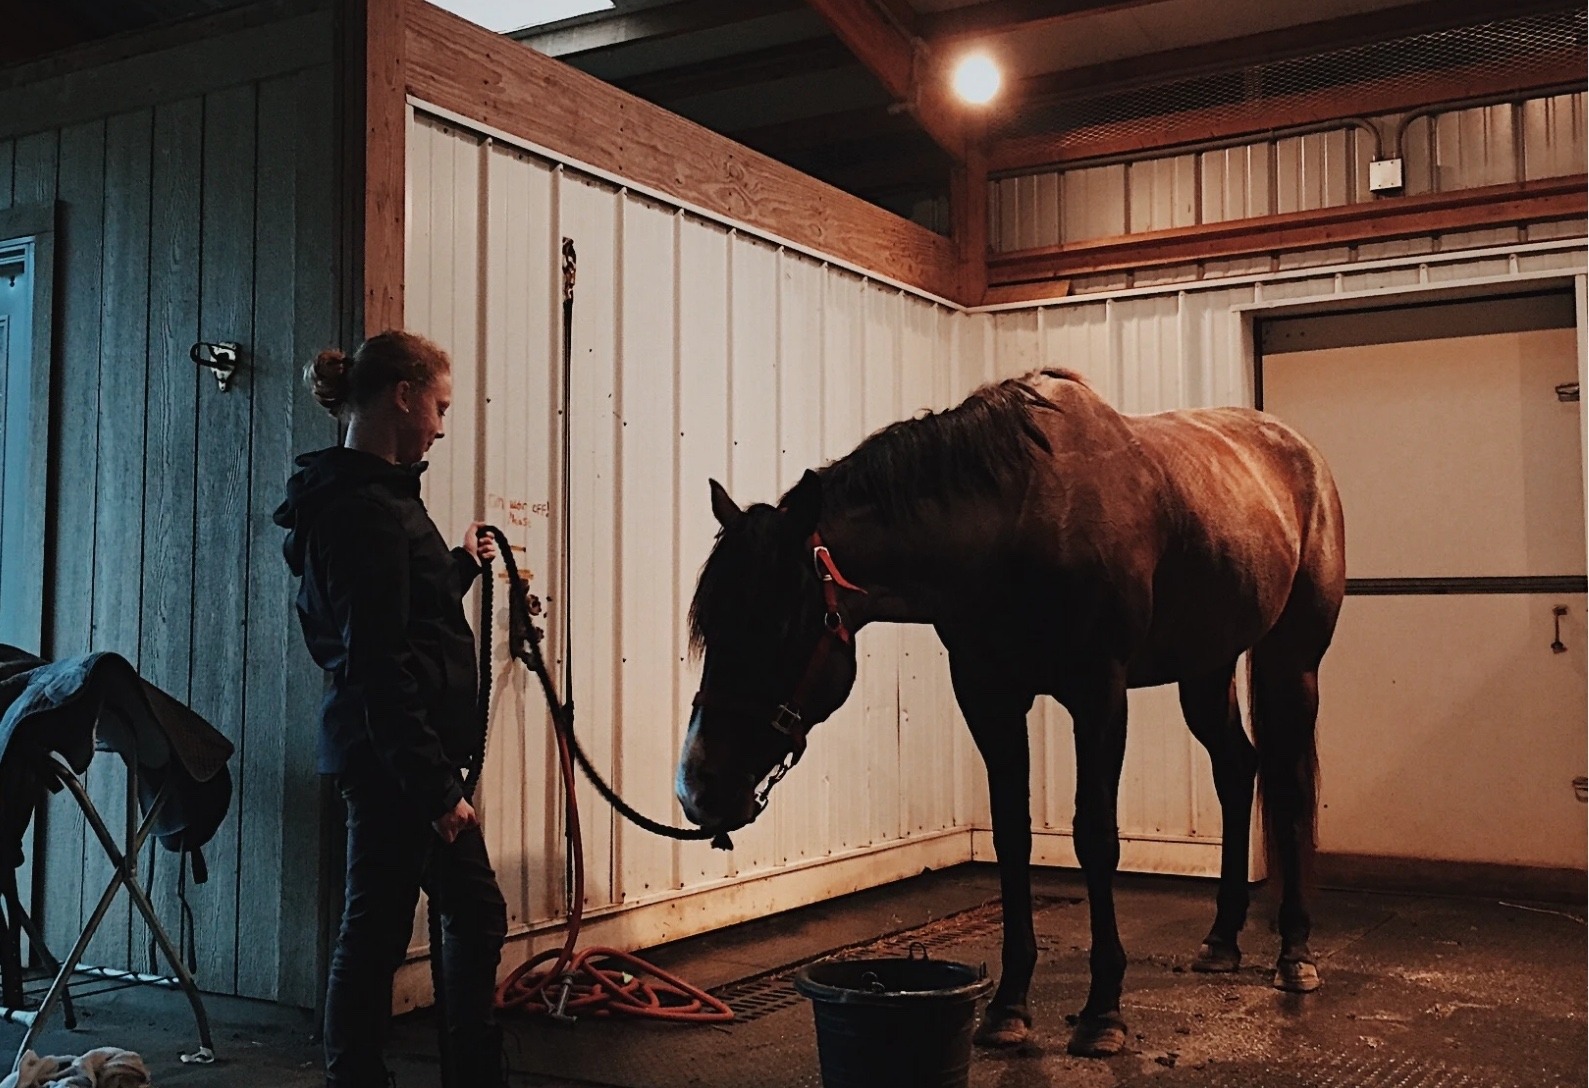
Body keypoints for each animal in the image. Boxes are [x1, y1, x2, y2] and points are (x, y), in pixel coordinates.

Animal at [674, 366, 1345, 1056]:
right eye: (710, 628)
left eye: (781, 626)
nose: (698, 788)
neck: (1018, 524)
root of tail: (1301, 454)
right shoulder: (988, 696)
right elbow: (1010, 835)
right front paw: (1008, 1007)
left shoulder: (1098, 694)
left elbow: (1095, 836)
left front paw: (1103, 1012)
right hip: (1206, 668)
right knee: (1237, 771)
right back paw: (1222, 939)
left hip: (1291, 662)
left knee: (1290, 784)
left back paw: (1295, 954)